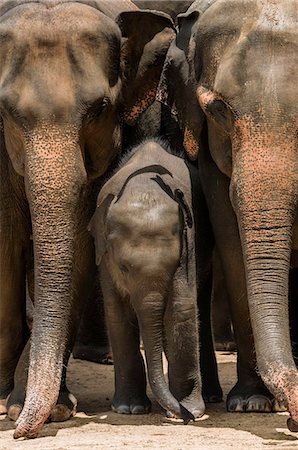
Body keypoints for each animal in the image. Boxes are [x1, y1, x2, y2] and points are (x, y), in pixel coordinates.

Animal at [0, 0, 175, 436]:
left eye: (99, 109)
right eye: (6, 112)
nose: (21, 432)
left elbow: (80, 250)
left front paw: (42, 408)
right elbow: (5, 241)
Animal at [89, 141, 205, 422]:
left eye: (174, 264)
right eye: (123, 267)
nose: (185, 417)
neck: (143, 186)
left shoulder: (189, 239)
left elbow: (181, 308)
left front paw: (191, 409)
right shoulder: (103, 257)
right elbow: (117, 312)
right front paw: (129, 409)